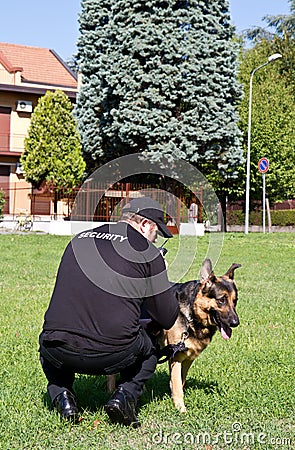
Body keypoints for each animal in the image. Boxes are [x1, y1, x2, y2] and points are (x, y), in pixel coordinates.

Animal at [107, 258, 242, 414]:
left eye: (235, 301)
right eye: (221, 300)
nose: (236, 323)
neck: (191, 315)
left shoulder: (188, 358)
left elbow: (180, 382)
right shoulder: (175, 357)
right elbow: (178, 386)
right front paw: (181, 408)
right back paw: (111, 391)